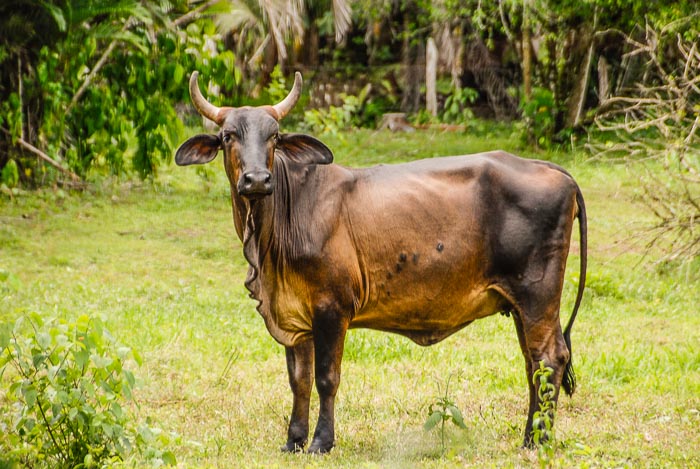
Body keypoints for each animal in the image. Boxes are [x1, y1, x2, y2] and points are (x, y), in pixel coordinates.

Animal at [175, 71, 587, 454]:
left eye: (275, 136)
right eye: (228, 135)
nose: (257, 179)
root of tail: (552, 168)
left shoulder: (332, 307)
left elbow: (326, 377)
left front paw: (321, 441)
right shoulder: (294, 314)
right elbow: (299, 380)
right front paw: (293, 440)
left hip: (537, 296)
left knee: (549, 359)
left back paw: (538, 440)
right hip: (519, 305)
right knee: (533, 364)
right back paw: (532, 436)